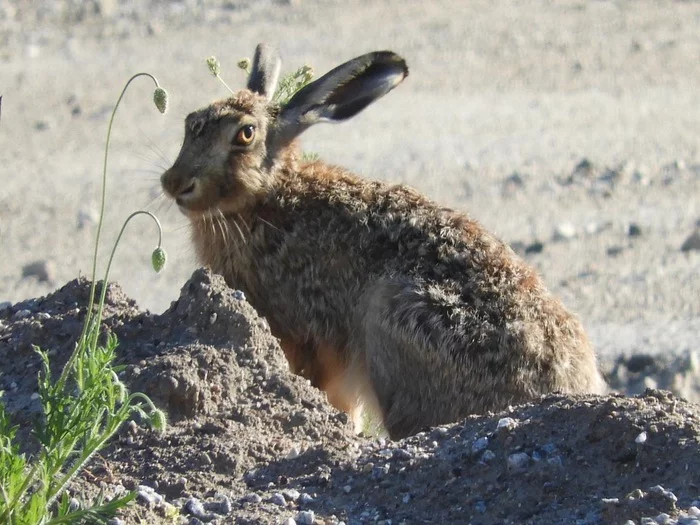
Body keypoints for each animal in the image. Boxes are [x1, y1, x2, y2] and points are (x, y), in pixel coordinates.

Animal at [161, 44, 607, 440]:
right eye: (190, 121)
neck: (267, 197)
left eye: (245, 135)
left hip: (393, 319)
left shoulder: (305, 337)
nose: (173, 182)